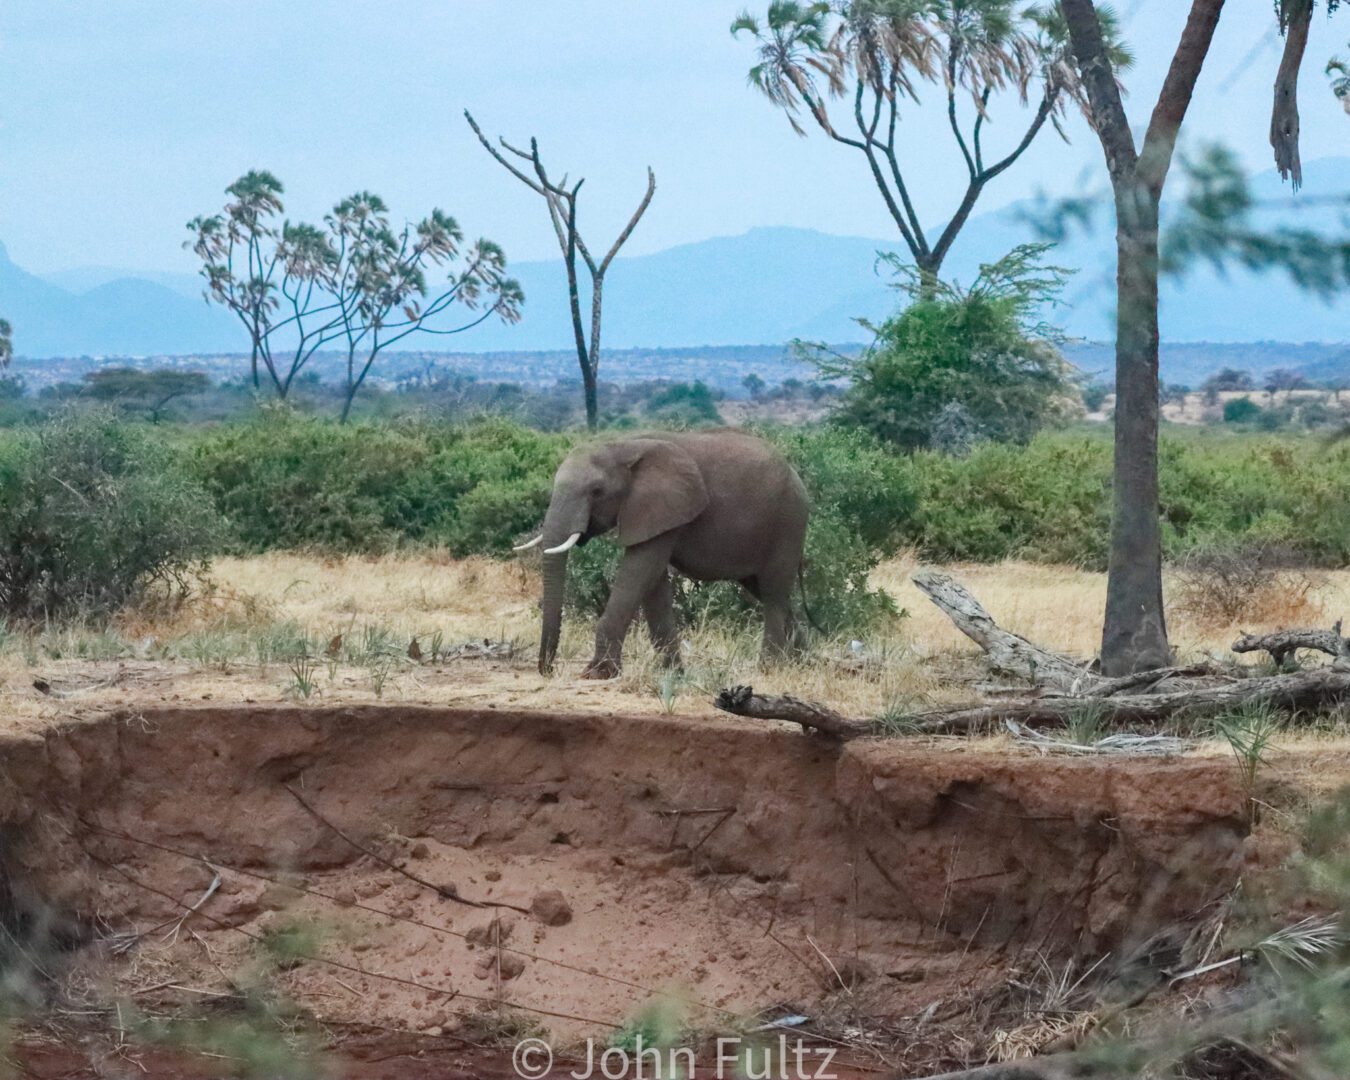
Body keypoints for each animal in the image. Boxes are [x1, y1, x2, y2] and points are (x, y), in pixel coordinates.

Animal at [513, 429, 810, 675]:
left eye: (596, 491)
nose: (548, 670)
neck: (622, 445)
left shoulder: (664, 507)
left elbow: (639, 570)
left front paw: (597, 673)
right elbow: (652, 581)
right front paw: (672, 673)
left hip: (788, 521)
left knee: (772, 592)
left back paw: (770, 668)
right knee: (767, 591)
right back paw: (802, 662)